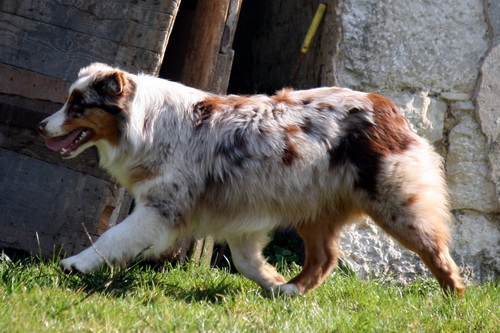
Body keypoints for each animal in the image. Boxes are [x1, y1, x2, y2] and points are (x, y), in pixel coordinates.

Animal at [36, 63, 464, 296]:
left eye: (78, 106)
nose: (41, 126)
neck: (147, 123)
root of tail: (386, 104)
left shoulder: (161, 208)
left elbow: (111, 237)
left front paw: (75, 264)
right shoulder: (241, 215)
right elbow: (246, 262)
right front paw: (273, 283)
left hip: (394, 204)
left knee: (436, 251)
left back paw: (453, 301)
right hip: (314, 208)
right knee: (325, 257)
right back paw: (292, 290)